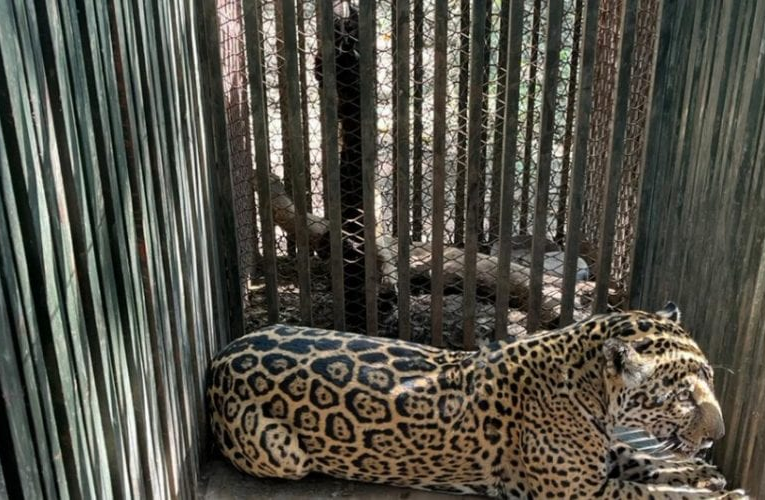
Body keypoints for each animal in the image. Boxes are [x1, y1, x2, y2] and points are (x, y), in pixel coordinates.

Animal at [207, 303, 746, 498]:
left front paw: (699, 473)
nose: (719, 434)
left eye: (709, 379)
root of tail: (221, 354)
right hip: (284, 455)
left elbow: (641, 460)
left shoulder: (600, 457)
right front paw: (714, 491)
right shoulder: (579, 492)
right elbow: (650, 493)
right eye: (682, 395)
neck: (590, 392)